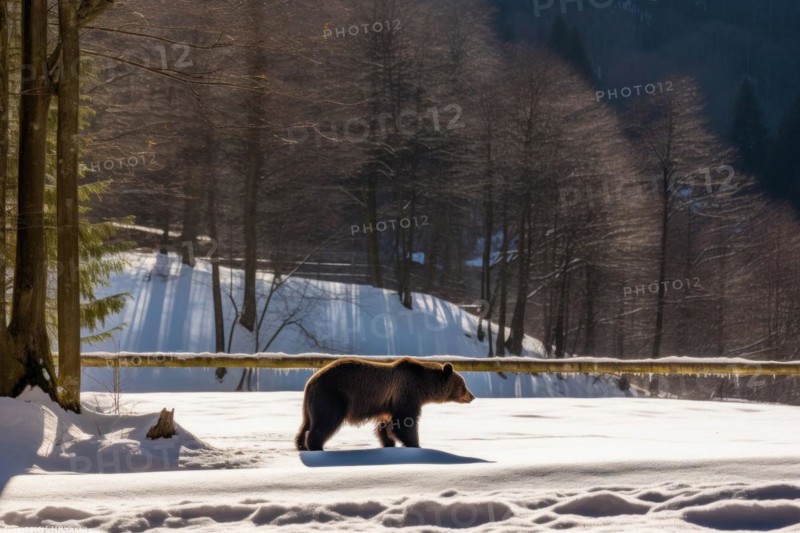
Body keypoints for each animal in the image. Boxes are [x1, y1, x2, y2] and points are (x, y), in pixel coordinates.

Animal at [295, 357, 475, 451]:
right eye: (463, 384)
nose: (472, 396)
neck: (423, 385)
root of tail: (311, 381)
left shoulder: (388, 404)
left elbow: (386, 425)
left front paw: (389, 442)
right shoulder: (407, 393)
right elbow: (405, 422)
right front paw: (415, 444)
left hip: (312, 403)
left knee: (306, 423)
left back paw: (300, 444)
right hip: (333, 395)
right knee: (326, 421)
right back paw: (316, 446)